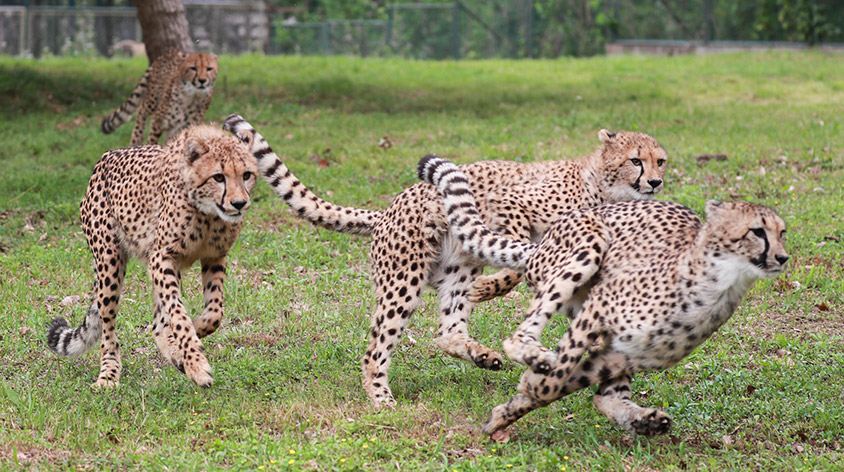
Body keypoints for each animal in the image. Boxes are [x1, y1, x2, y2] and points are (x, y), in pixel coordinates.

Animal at [46, 123, 256, 390]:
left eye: (247, 174)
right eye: (218, 177)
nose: (239, 203)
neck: (207, 213)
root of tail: (104, 159)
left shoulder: (214, 257)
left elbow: (214, 313)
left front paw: (195, 334)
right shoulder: (162, 257)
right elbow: (179, 315)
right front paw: (197, 365)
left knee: (157, 322)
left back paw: (177, 355)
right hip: (110, 263)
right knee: (108, 327)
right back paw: (109, 374)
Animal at [223, 115, 664, 410]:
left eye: (660, 161)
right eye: (635, 160)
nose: (656, 181)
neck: (600, 185)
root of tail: (384, 211)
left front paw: (489, 292)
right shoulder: (509, 206)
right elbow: (516, 262)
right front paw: (492, 287)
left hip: (456, 269)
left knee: (446, 329)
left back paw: (480, 353)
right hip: (403, 281)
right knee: (376, 349)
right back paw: (381, 398)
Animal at [418, 156, 788, 438]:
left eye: (782, 232)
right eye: (757, 231)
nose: (783, 257)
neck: (717, 282)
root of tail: (542, 241)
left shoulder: (623, 353)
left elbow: (567, 383)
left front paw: (510, 410)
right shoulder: (599, 308)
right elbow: (557, 373)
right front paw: (524, 393)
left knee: (605, 396)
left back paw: (641, 418)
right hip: (587, 247)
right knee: (520, 335)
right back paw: (535, 354)